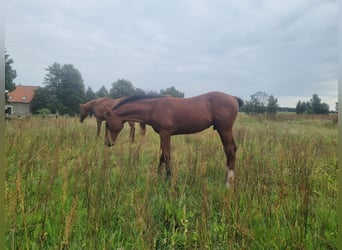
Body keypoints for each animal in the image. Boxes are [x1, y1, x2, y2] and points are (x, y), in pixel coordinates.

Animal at [104, 91, 243, 188]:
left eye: (107, 124)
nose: (107, 143)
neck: (154, 107)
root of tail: (233, 98)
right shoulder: (163, 134)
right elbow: (162, 155)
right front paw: (158, 178)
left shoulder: (165, 133)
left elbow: (166, 155)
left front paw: (167, 180)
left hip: (224, 129)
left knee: (230, 150)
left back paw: (228, 184)